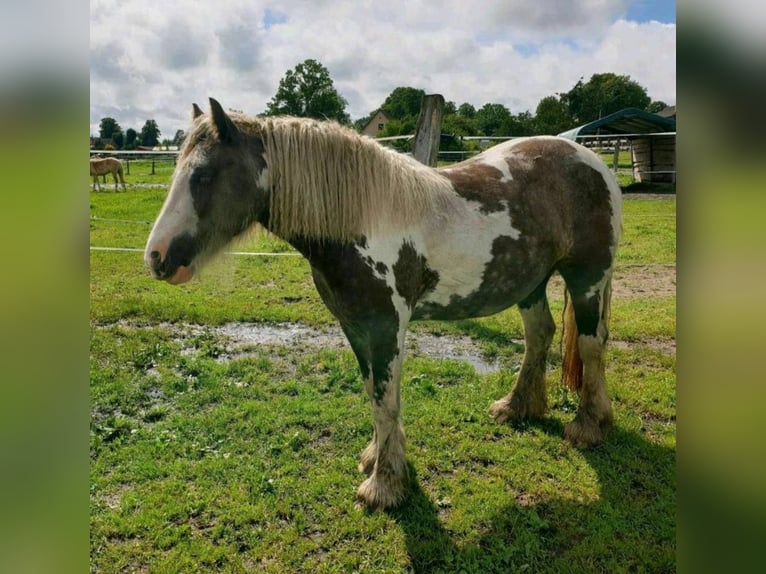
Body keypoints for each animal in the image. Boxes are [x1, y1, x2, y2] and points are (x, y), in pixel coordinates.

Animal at [142, 100, 624, 512]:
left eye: (203, 176)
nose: (156, 257)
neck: (360, 220)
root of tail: (591, 159)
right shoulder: (356, 326)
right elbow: (372, 391)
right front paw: (378, 458)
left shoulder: (386, 327)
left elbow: (385, 398)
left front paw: (384, 487)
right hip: (531, 283)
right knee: (539, 334)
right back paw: (517, 407)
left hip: (587, 277)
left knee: (591, 343)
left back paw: (588, 425)